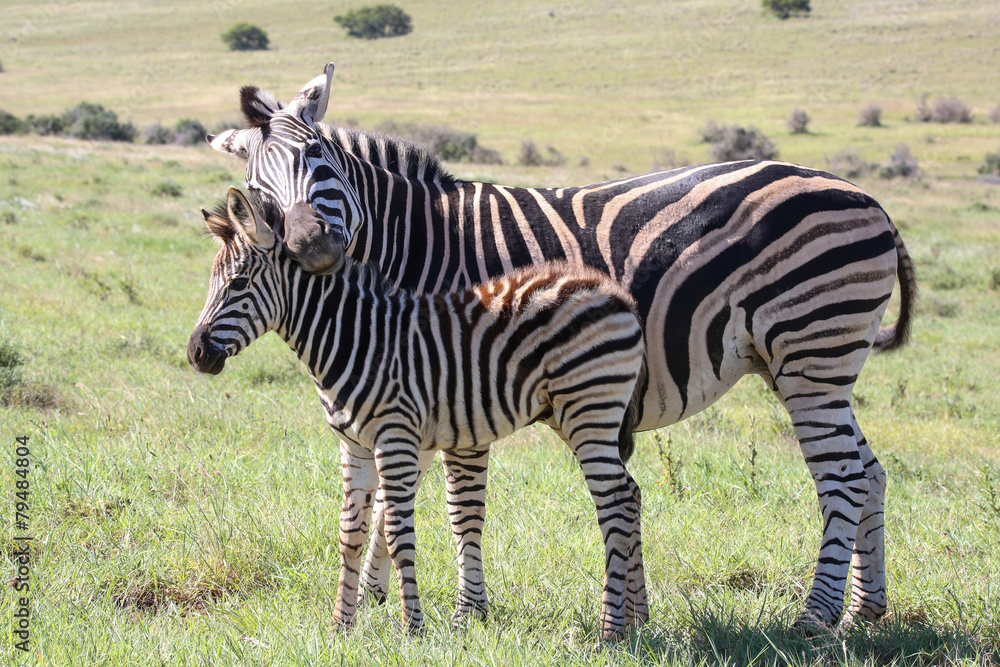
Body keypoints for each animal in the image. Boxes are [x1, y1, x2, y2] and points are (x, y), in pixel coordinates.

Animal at [187, 186, 649, 640]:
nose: (195, 354)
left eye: (238, 282)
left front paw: (413, 627)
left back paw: (609, 631)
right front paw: (341, 625)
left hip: (590, 408)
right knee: (629, 495)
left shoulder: (395, 438)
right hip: (570, 414)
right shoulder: (354, 446)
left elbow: (397, 535)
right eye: (211, 282)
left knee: (613, 503)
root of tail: (616, 294)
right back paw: (634, 620)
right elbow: (349, 533)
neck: (354, 337)